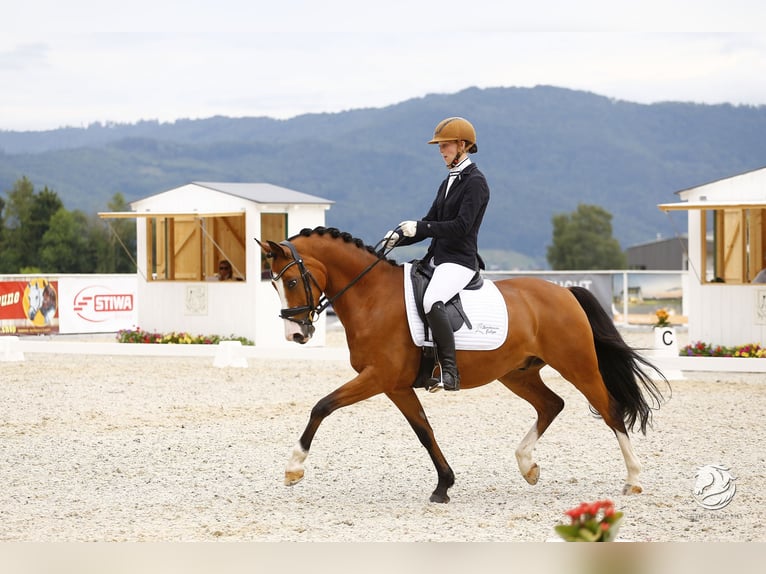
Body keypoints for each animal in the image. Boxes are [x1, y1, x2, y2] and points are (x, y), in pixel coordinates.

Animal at [258, 227, 664, 506]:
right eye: (274, 285)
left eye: (291, 281)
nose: (296, 334)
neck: (371, 297)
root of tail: (565, 292)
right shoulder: (395, 385)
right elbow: (424, 431)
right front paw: (444, 485)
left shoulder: (378, 377)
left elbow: (322, 406)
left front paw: (294, 467)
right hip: (517, 373)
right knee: (552, 404)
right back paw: (527, 465)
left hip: (577, 365)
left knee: (610, 409)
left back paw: (633, 479)